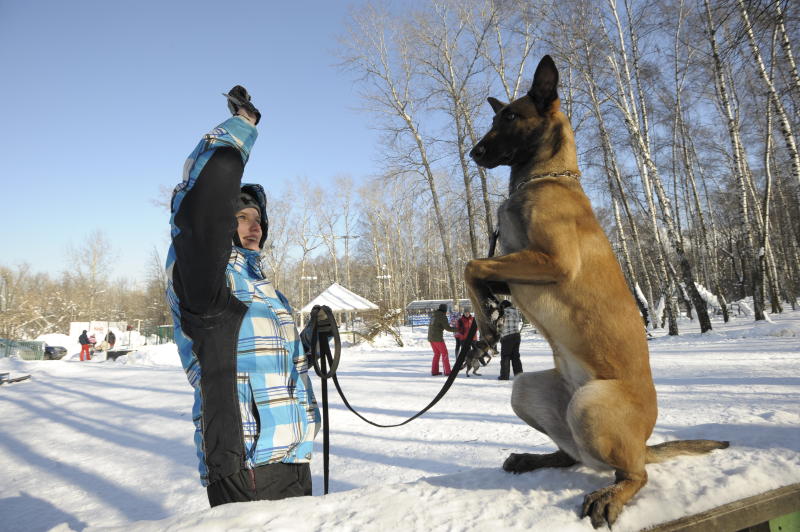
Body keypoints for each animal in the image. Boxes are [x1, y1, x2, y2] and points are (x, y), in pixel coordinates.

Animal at [462, 56, 732, 528]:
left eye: (510, 117)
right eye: (495, 118)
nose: (474, 153)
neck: (544, 179)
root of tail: (642, 443)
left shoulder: (550, 261)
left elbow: (471, 264)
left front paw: (487, 325)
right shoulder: (515, 266)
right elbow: (477, 272)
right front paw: (486, 328)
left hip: (590, 405)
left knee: (635, 474)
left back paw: (611, 495)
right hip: (528, 391)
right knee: (572, 456)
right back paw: (532, 458)